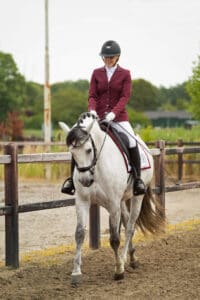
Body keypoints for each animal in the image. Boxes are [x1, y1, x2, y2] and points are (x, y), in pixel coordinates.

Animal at [58, 111, 165, 284]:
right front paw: (76, 273)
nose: (84, 181)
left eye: (89, 150)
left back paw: (124, 259)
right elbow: (79, 234)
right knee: (127, 223)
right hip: (121, 201)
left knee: (130, 227)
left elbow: (114, 238)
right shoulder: (82, 201)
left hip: (136, 198)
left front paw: (119, 271)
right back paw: (131, 258)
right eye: (72, 153)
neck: (96, 167)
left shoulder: (113, 204)